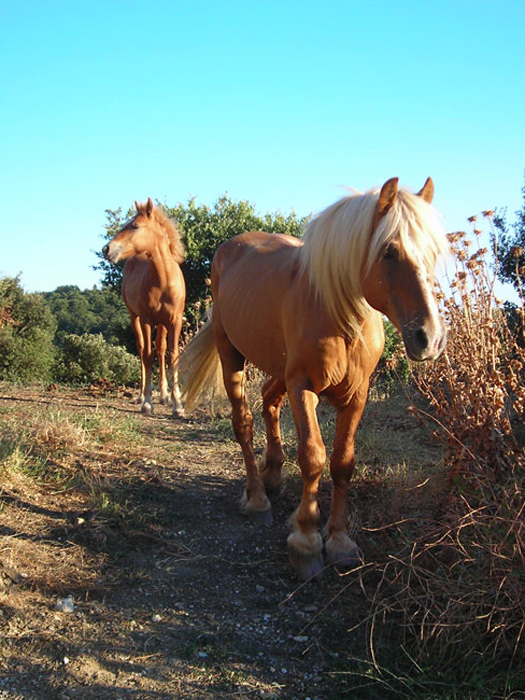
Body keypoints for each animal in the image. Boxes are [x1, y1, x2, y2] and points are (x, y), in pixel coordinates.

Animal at [101, 197, 185, 416]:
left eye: (135, 226)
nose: (106, 249)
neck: (163, 282)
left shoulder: (174, 321)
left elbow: (172, 356)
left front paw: (177, 404)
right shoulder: (147, 320)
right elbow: (147, 356)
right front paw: (147, 402)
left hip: (162, 323)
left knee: (160, 349)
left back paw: (164, 395)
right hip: (135, 317)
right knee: (141, 349)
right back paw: (140, 396)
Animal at [179, 176, 446, 580]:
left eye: (433, 252)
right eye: (389, 251)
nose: (428, 338)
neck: (340, 313)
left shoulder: (356, 395)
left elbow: (343, 462)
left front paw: (339, 540)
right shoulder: (304, 386)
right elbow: (313, 456)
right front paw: (305, 539)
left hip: (279, 368)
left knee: (268, 399)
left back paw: (273, 475)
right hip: (233, 355)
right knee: (243, 422)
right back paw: (257, 498)